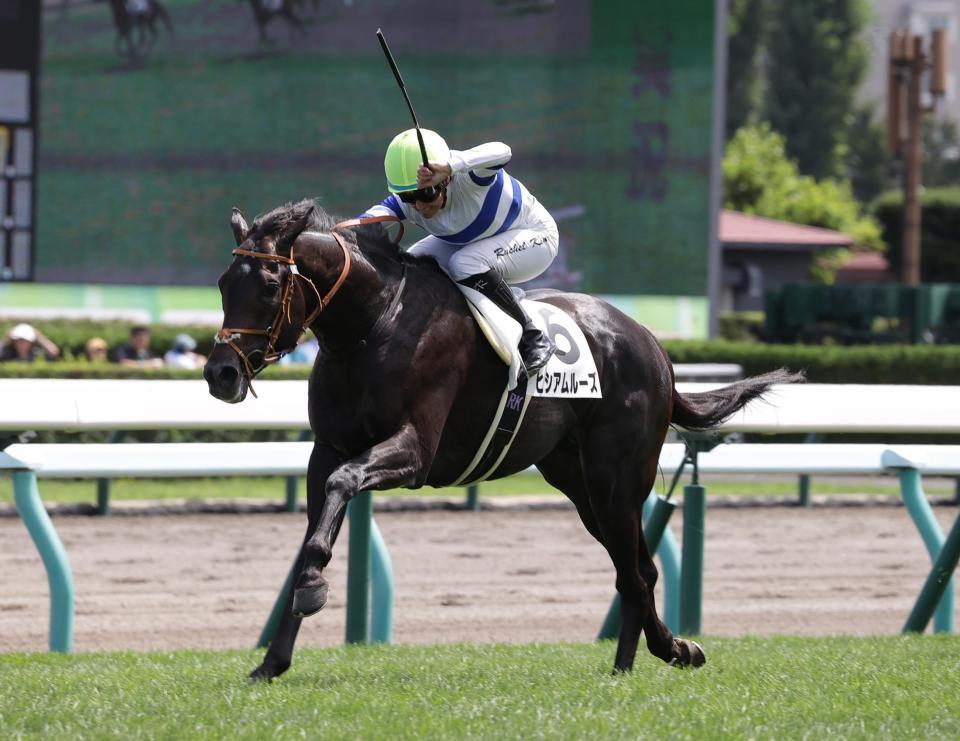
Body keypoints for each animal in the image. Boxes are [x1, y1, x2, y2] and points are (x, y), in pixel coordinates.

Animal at [204, 199, 801, 681]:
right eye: (223, 284)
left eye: (270, 287)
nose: (221, 373)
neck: (373, 323)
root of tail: (654, 347)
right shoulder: (325, 448)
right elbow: (317, 521)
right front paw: (272, 660)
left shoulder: (414, 452)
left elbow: (342, 487)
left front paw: (312, 587)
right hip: (577, 480)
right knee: (632, 569)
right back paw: (642, 659)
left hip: (617, 478)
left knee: (638, 569)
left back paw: (662, 654)